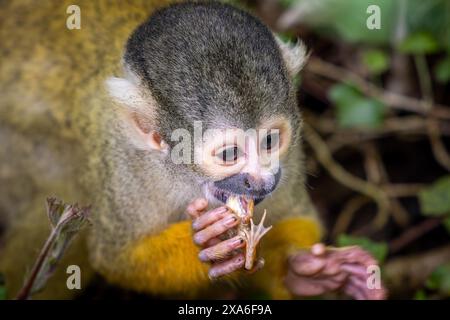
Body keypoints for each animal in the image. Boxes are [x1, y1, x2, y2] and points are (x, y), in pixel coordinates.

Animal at [0, 0, 384, 300]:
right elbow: (117, 258)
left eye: (269, 142)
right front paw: (203, 248)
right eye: (229, 155)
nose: (261, 181)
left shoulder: (289, 159)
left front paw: (305, 274)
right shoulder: (121, 166)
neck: (182, 176)